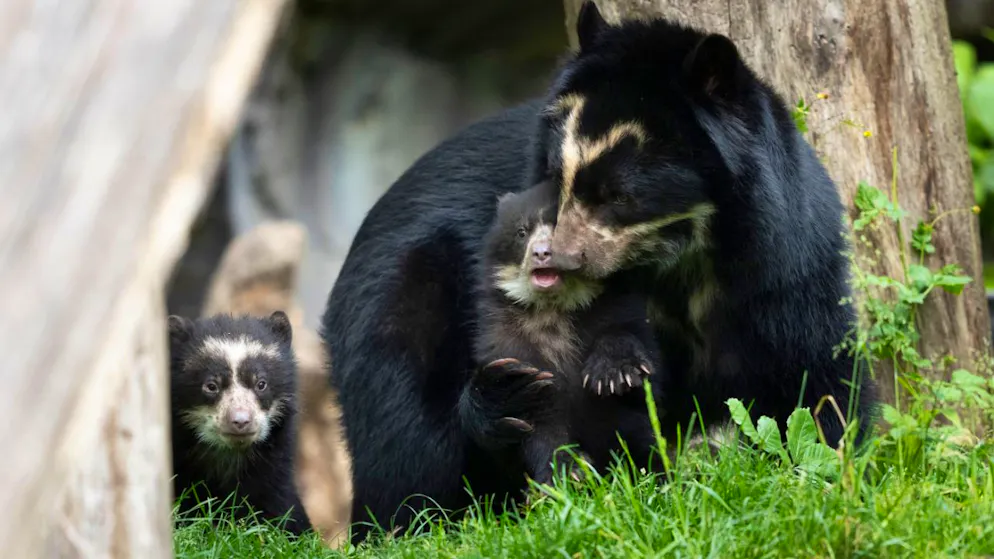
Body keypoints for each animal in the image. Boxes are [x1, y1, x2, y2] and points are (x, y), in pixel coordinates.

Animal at [321, 2, 875, 543]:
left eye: (618, 195)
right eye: (554, 179)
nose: (555, 258)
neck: (681, 260)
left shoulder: (785, 268)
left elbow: (816, 376)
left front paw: (835, 476)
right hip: (400, 302)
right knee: (405, 440)